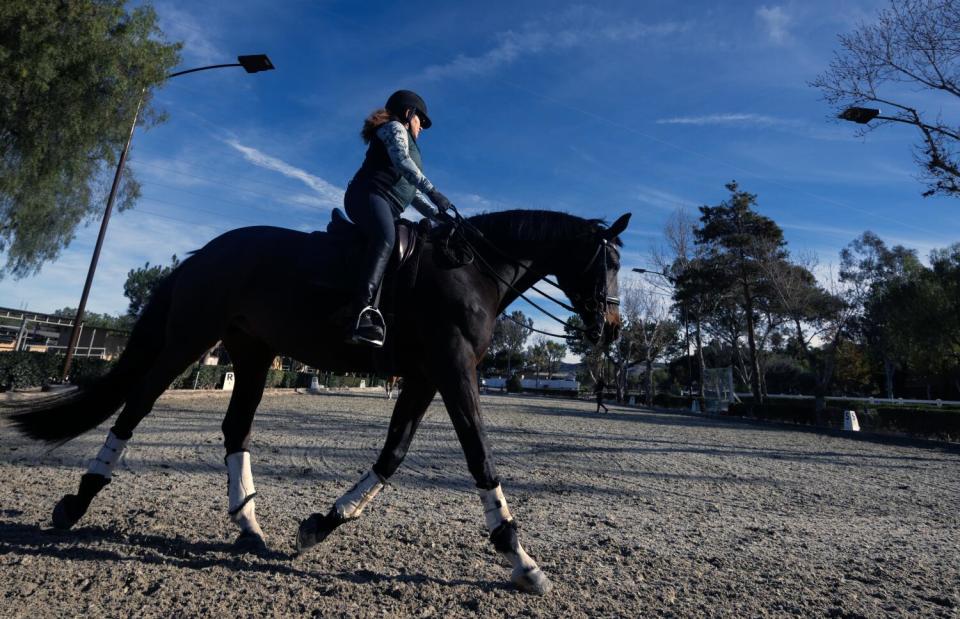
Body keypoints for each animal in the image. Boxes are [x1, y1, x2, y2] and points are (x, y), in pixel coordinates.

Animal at [5, 209, 632, 596]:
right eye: (608, 261)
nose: (611, 328)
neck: (472, 270)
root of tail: (205, 252)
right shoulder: (454, 371)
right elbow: (480, 456)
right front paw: (521, 560)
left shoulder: (425, 377)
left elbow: (392, 455)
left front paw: (319, 526)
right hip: (188, 340)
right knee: (135, 408)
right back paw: (77, 503)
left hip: (252, 352)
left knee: (236, 429)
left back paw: (249, 526)